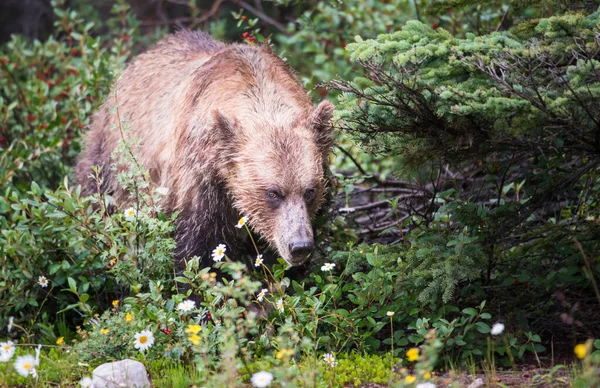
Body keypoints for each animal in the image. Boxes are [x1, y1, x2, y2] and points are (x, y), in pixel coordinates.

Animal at [75, 31, 332, 270]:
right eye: (273, 193)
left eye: (310, 191)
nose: (299, 246)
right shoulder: (200, 179)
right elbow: (197, 249)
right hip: (112, 152)